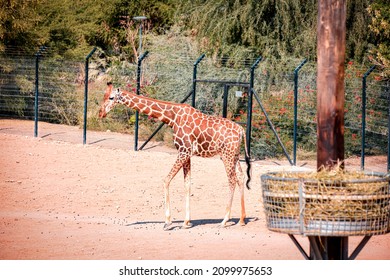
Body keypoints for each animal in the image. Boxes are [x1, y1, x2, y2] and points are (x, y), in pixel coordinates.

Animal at [99, 81, 251, 230]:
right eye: (104, 96)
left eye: (111, 98)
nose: (100, 113)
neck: (172, 117)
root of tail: (241, 130)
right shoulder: (187, 153)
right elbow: (187, 184)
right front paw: (186, 222)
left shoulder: (183, 151)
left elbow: (166, 180)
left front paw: (168, 222)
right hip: (234, 155)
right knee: (241, 177)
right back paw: (242, 219)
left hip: (226, 155)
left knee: (232, 180)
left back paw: (225, 220)